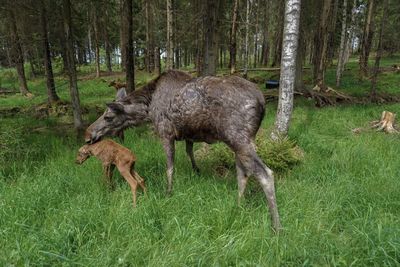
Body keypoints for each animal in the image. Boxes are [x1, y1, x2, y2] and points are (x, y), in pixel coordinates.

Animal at [85, 70, 282, 231]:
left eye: (108, 117)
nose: (88, 135)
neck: (147, 109)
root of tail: (262, 101)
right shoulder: (188, 136)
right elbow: (189, 153)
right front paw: (196, 171)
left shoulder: (166, 133)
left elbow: (170, 168)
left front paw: (168, 192)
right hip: (239, 142)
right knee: (243, 173)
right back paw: (238, 206)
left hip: (238, 139)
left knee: (266, 174)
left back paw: (276, 227)